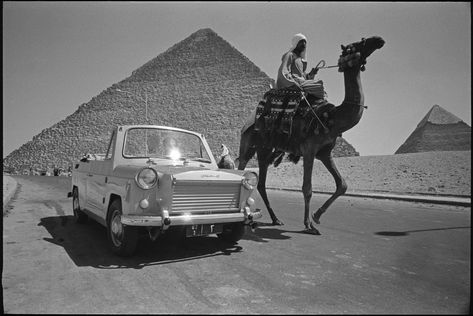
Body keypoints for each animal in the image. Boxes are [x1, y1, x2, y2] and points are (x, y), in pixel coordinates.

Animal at [236, 37, 384, 235]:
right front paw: (309, 224)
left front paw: (317, 216)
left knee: (261, 182)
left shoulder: (325, 153)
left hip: (265, 149)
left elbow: (342, 184)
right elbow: (307, 188)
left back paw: (276, 219)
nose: (379, 40)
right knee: (241, 169)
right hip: (248, 144)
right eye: (356, 44)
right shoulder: (309, 150)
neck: (332, 117)